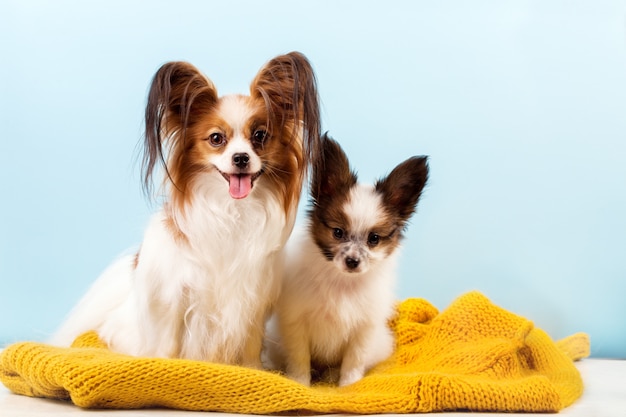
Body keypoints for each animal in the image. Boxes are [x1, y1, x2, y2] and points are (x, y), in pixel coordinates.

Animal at [51, 52, 320, 368]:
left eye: (260, 136)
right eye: (216, 139)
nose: (241, 158)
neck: (231, 209)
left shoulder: (253, 299)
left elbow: (251, 345)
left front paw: (254, 370)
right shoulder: (175, 297)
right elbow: (169, 341)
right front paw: (169, 368)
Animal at [260, 134, 426, 384]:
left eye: (374, 239)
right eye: (338, 232)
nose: (352, 261)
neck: (342, 282)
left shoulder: (363, 330)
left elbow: (354, 361)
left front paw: (349, 386)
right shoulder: (296, 323)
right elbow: (299, 358)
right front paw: (300, 383)